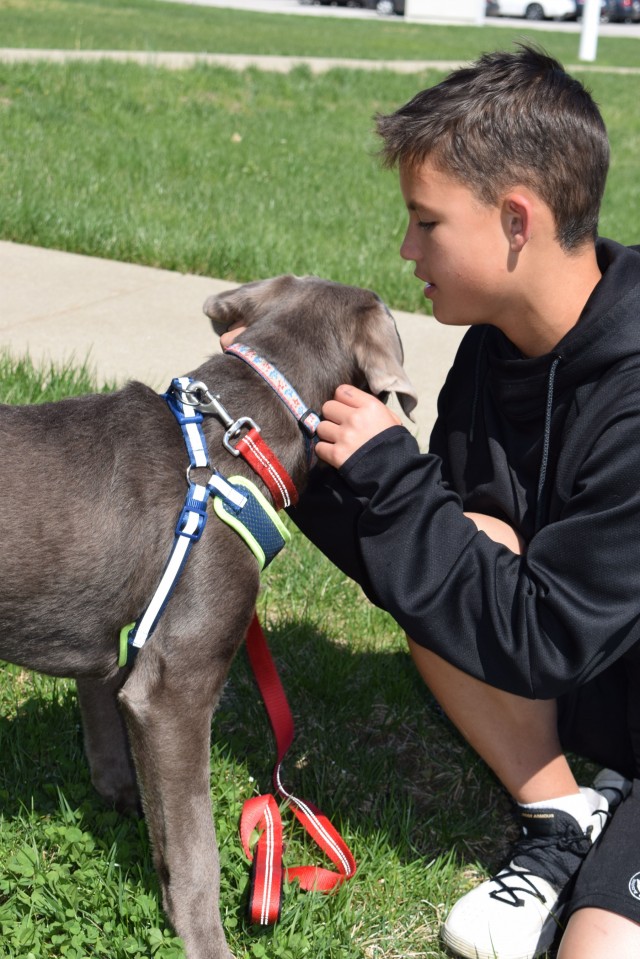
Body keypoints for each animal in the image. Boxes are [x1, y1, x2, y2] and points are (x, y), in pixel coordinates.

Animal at [0, 276, 416, 959]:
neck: (236, 443)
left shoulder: (121, 638)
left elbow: (105, 726)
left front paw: (124, 801)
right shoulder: (174, 689)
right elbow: (197, 848)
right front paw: (207, 941)